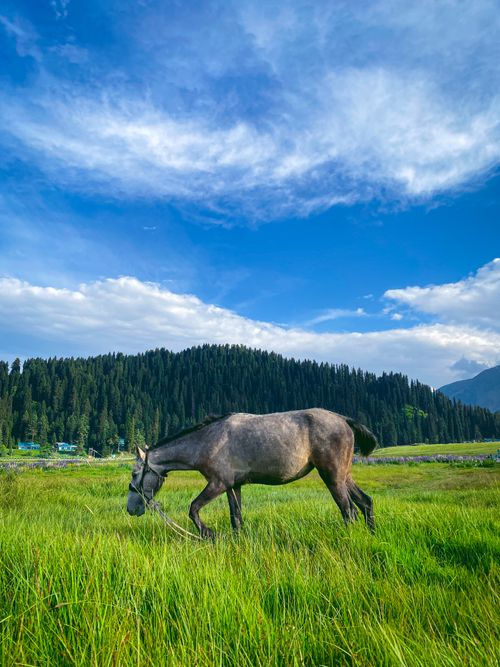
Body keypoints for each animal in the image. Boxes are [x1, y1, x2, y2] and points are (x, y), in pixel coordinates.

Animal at [127, 408, 377, 538]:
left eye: (134, 474)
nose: (131, 509)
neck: (207, 441)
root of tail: (343, 419)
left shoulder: (218, 484)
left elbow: (193, 508)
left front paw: (208, 534)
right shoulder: (232, 486)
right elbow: (236, 518)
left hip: (332, 478)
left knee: (348, 511)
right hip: (344, 476)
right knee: (365, 503)